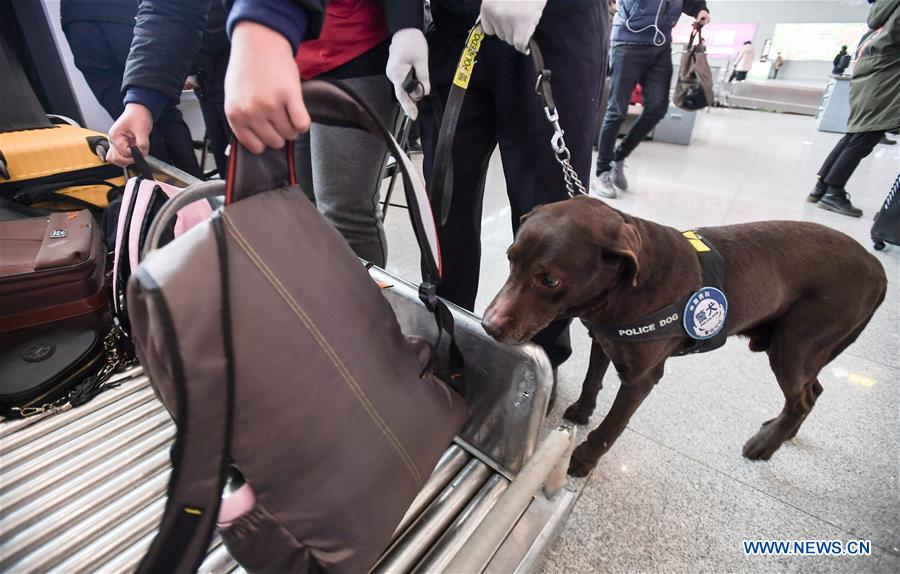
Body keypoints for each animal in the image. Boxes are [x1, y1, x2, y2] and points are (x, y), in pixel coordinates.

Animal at [486, 198, 884, 476]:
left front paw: (583, 459)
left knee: (800, 399)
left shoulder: (642, 378)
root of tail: (877, 269)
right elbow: (590, 381)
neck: (626, 288)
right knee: (812, 391)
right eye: (510, 258)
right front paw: (583, 411)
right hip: (807, 351)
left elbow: (612, 425)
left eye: (549, 280)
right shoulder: (604, 341)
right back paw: (782, 433)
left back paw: (765, 445)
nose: (488, 326)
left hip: (794, 347)